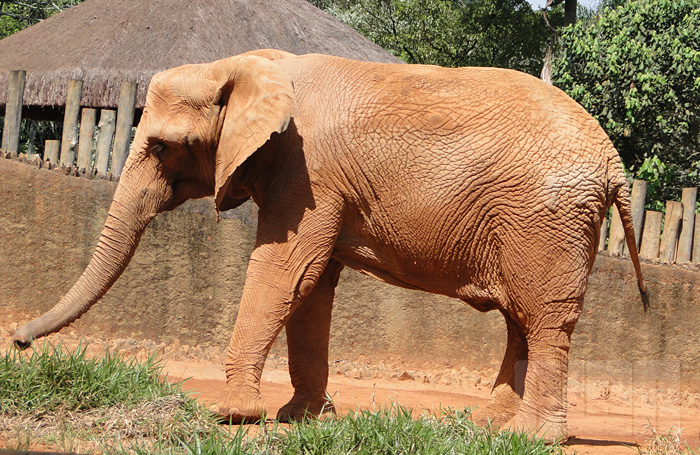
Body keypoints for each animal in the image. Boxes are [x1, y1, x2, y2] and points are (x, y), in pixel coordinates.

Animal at [12, 49, 644, 442]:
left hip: (548, 222)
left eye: (164, 147)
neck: (245, 65)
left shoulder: (306, 171)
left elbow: (284, 270)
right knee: (520, 320)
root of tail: (614, 162)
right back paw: (489, 428)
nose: (18, 341)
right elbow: (311, 286)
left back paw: (531, 437)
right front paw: (303, 419)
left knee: (543, 320)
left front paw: (231, 415)